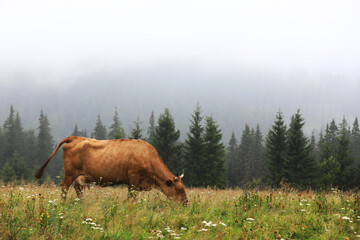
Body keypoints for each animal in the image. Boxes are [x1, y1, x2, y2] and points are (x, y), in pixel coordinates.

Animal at [34, 136, 188, 203]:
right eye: (179, 189)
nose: (186, 202)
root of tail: (75, 138)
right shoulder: (133, 179)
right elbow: (132, 196)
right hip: (70, 174)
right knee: (64, 187)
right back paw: (63, 203)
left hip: (80, 176)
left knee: (77, 188)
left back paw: (81, 202)